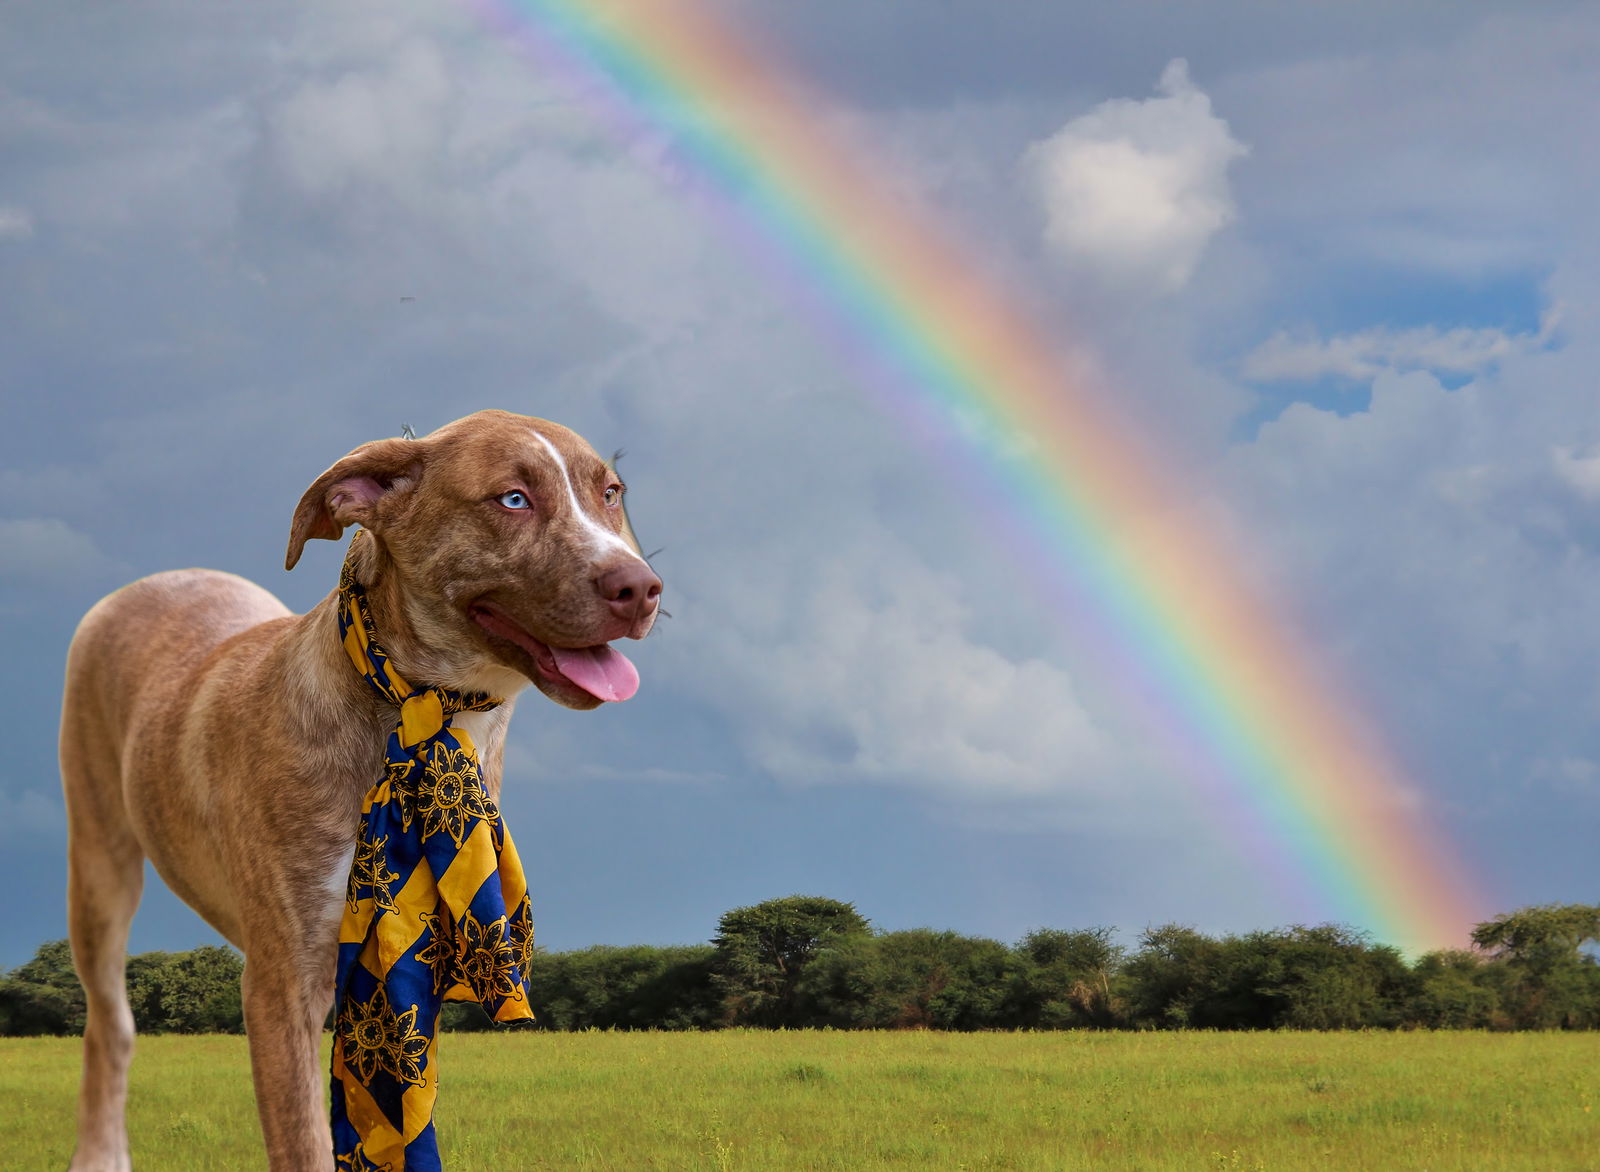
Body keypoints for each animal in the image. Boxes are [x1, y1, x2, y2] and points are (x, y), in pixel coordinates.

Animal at [56, 409, 656, 1165]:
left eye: (611, 493)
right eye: (513, 499)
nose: (641, 587)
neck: (424, 716)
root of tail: (162, 577)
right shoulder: (284, 986)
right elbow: (305, 1144)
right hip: (99, 868)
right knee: (109, 1026)